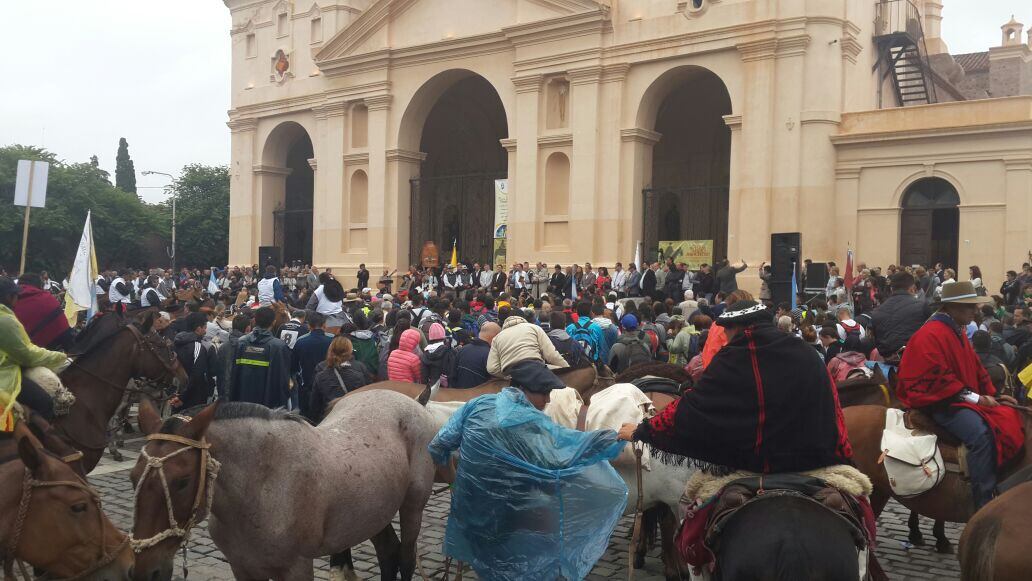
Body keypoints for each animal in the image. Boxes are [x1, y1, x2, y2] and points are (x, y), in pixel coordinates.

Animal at [129, 390, 435, 581]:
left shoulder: (296, 568)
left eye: (182, 481)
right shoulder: (243, 567)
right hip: (373, 512)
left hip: (412, 506)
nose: (145, 571)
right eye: (133, 477)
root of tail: (413, 401)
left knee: (406, 557)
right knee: (388, 553)